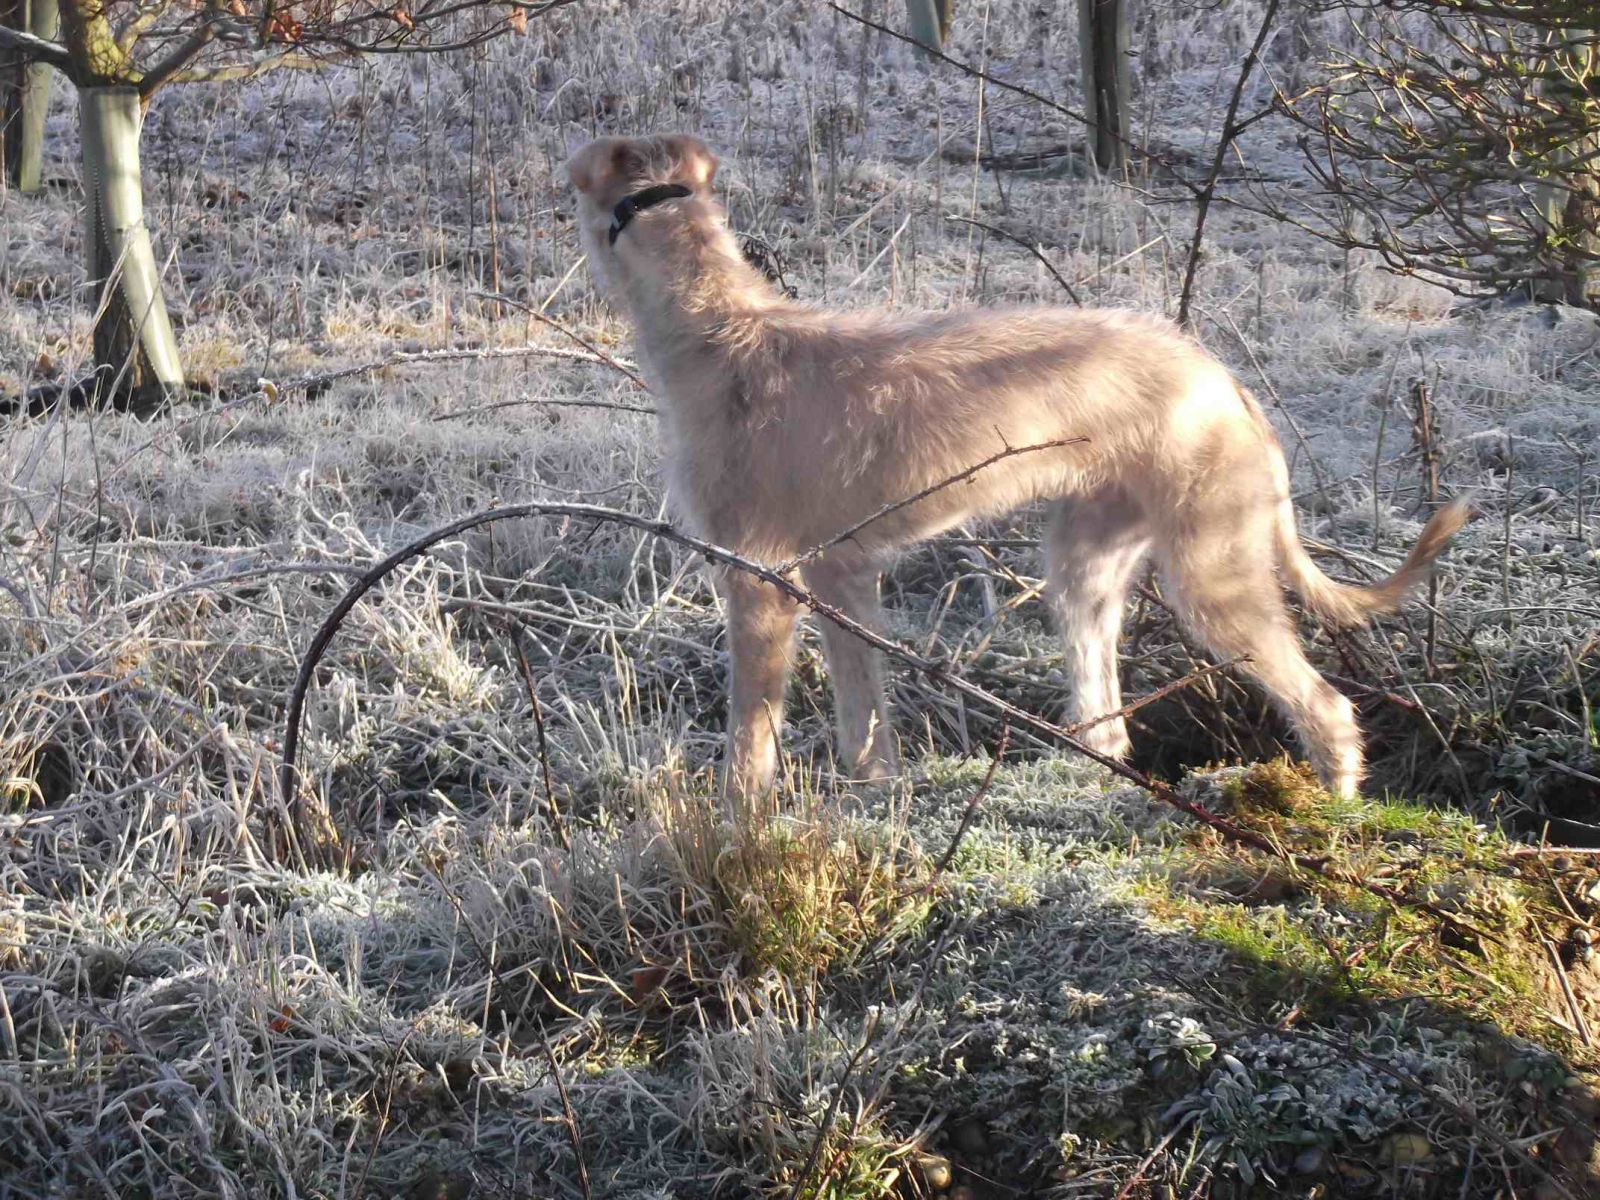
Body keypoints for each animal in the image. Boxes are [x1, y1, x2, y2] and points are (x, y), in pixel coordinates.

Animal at [569, 131, 1465, 800]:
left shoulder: (758, 580)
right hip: (1085, 569)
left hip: (1214, 577)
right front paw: (875, 798)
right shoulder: (839, 577)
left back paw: (1337, 812)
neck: (721, 334)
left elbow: (751, 735)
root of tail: (1226, 384)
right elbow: (865, 724)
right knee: (1108, 716)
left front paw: (737, 822)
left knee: (1327, 706)